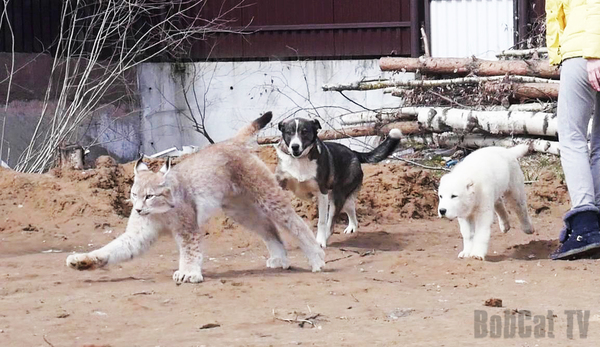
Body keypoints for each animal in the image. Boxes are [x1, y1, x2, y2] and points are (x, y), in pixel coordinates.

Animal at [274, 117, 400, 247]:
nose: (295, 146)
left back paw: (326, 237)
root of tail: (354, 153)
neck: (299, 160)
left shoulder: (322, 193)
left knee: (331, 223)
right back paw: (352, 226)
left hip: (337, 197)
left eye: (304, 132)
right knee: (350, 206)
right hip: (341, 198)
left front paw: (320, 241)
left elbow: (322, 221)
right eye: (289, 132)